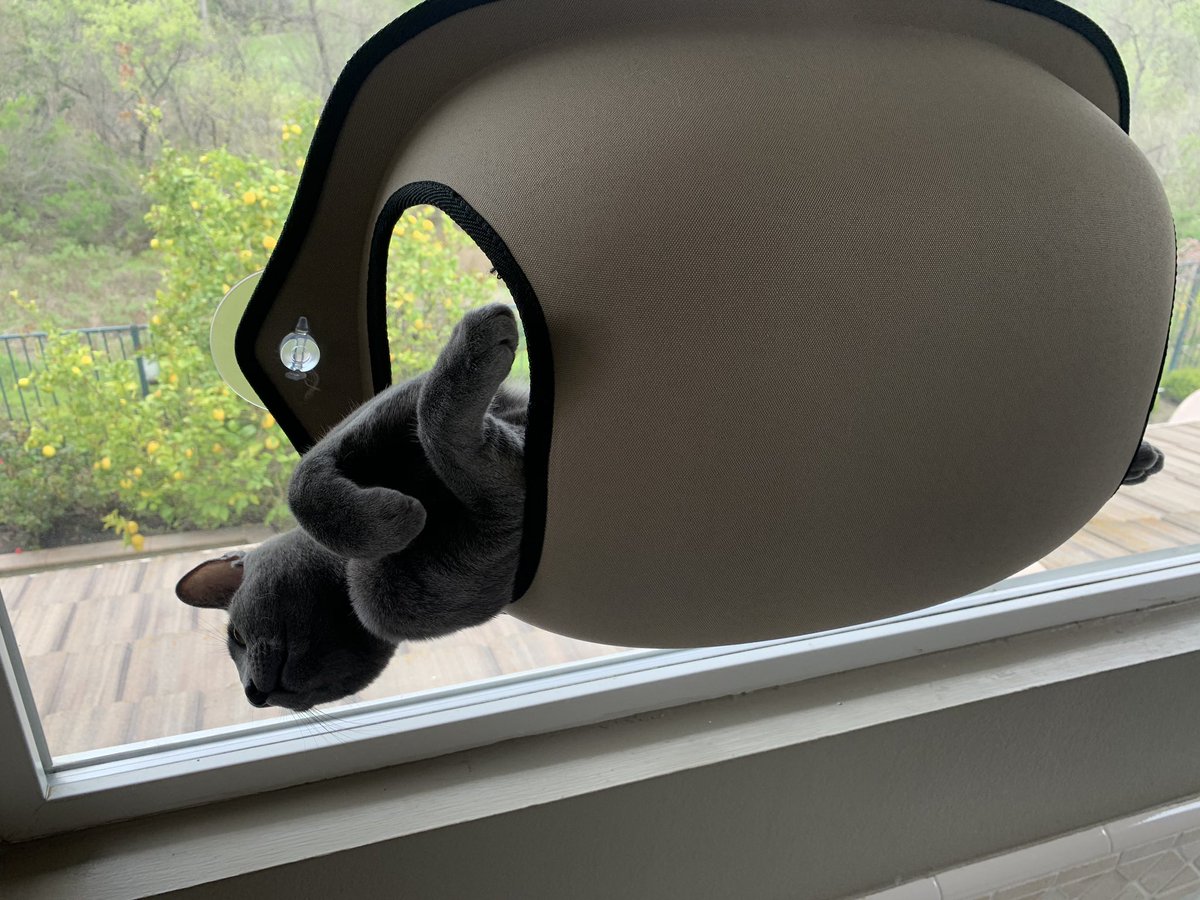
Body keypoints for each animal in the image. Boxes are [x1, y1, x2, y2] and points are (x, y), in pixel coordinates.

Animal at [175, 303, 528, 711]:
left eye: (237, 636)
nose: (253, 695)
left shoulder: (381, 412)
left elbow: (303, 483)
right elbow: (381, 601)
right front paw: (408, 518)